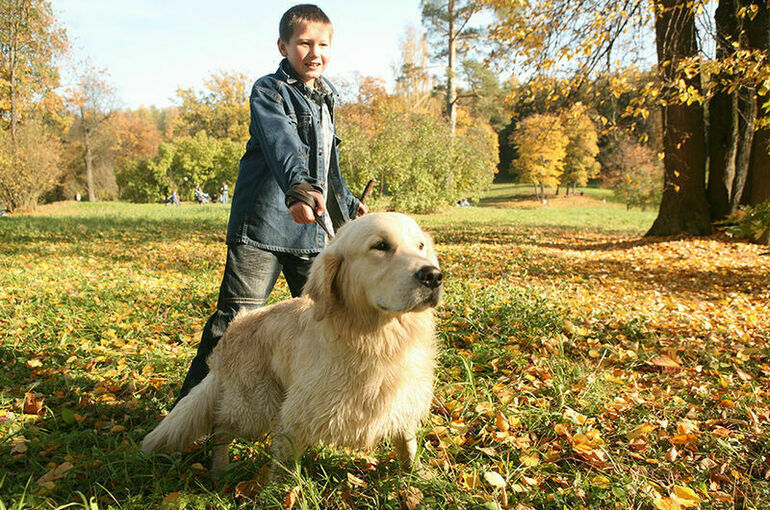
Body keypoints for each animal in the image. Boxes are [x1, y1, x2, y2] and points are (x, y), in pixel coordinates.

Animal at [141, 212, 440, 478]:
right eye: (380, 246)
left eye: (420, 246)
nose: (434, 276)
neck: (378, 339)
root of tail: (234, 328)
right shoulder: (296, 414)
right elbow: (285, 465)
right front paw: (283, 492)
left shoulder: (403, 401)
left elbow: (408, 444)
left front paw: (416, 475)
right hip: (257, 405)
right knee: (220, 425)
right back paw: (219, 471)